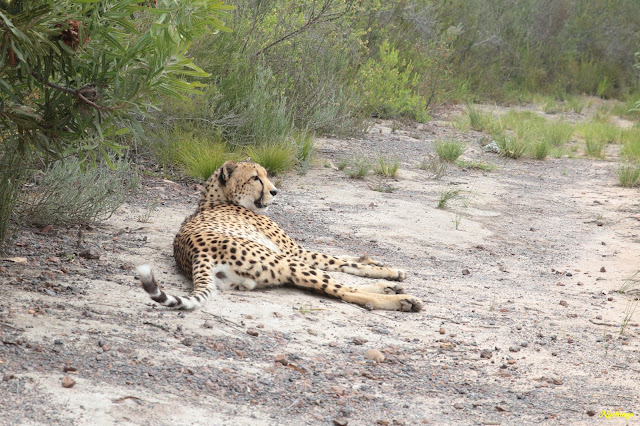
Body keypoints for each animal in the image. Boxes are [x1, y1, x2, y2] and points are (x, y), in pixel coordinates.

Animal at [138, 160, 422, 312]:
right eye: (256, 178)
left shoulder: (296, 251)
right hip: (287, 262)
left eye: (266, 175)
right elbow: (339, 261)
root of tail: (196, 253)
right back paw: (402, 299)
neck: (217, 199)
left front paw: (378, 265)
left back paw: (392, 289)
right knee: (344, 291)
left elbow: (345, 259)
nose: (275, 191)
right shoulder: (294, 251)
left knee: (337, 286)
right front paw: (389, 271)